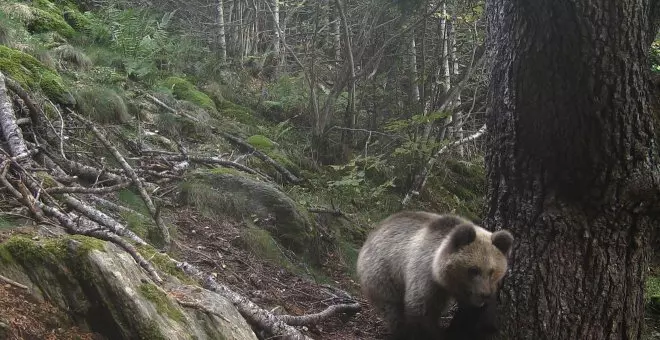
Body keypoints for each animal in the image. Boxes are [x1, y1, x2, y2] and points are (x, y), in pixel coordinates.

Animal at [358, 211, 512, 338]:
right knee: (391, 309)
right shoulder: (425, 276)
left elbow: (471, 315)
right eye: (474, 269)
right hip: (382, 272)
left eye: (492, 271)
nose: (484, 294)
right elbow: (422, 310)